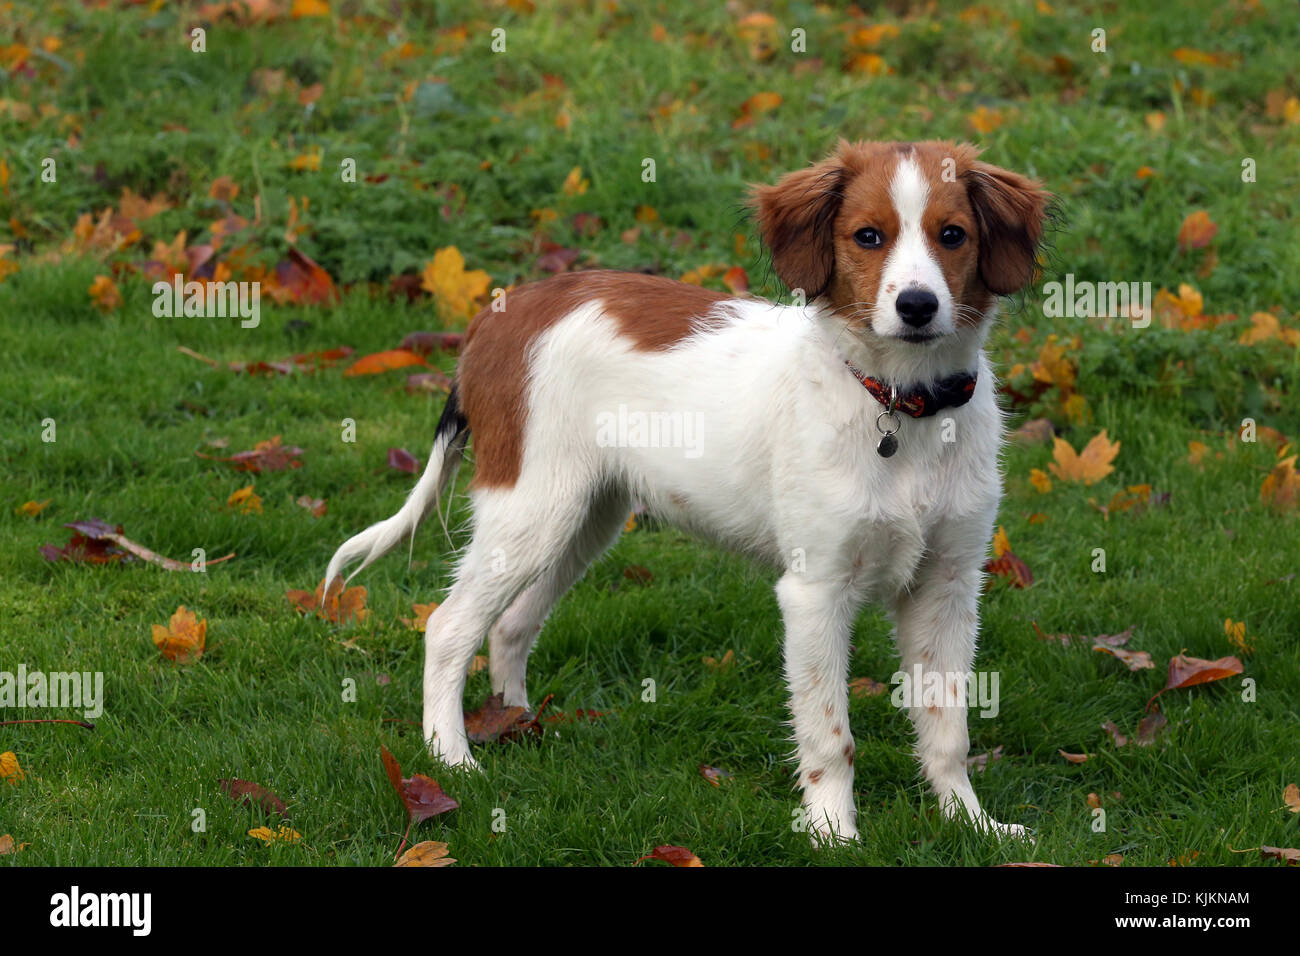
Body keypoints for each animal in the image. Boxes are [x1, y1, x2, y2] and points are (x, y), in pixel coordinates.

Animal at [325, 138, 1045, 842]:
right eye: (868, 236)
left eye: (952, 235)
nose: (917, 306)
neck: (901, 404)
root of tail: (498, 315)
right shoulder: (815, 590)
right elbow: (829, 734)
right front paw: (832, 832)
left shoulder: (949, 585)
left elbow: (948, 728)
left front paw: (971, 823)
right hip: (531, 510)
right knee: (448, 628)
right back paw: (452, 758)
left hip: (583, 519)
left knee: (511, 623)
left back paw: (517, 723)